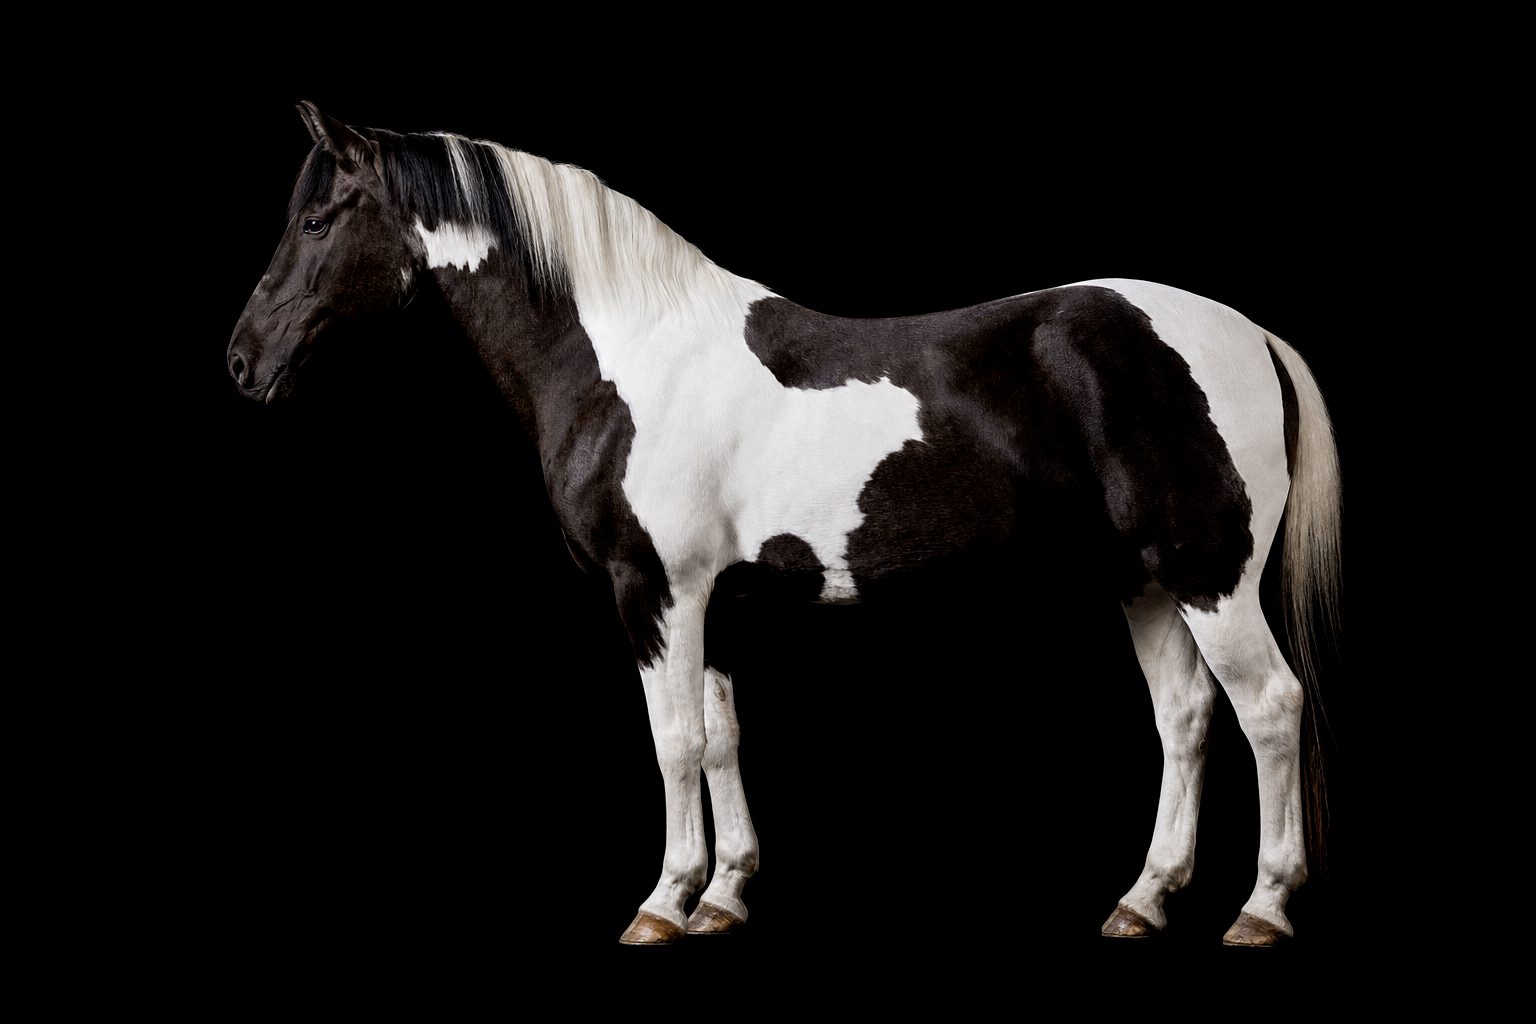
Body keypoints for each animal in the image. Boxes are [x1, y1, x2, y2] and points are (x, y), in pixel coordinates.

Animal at [226, 102, 1340, 947]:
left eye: (319, 219)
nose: (242, 360)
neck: (628, 359)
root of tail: (1245, 331)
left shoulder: (655, 591)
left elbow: (673, 740)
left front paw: (661, 903)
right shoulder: (712, 600)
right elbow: (722, 737)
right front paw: (722, 893)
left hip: (1209, 576)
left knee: (1268, 707)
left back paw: (1262, 909)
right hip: (1147, 580)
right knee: (1184, 718)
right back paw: (1144, 900)